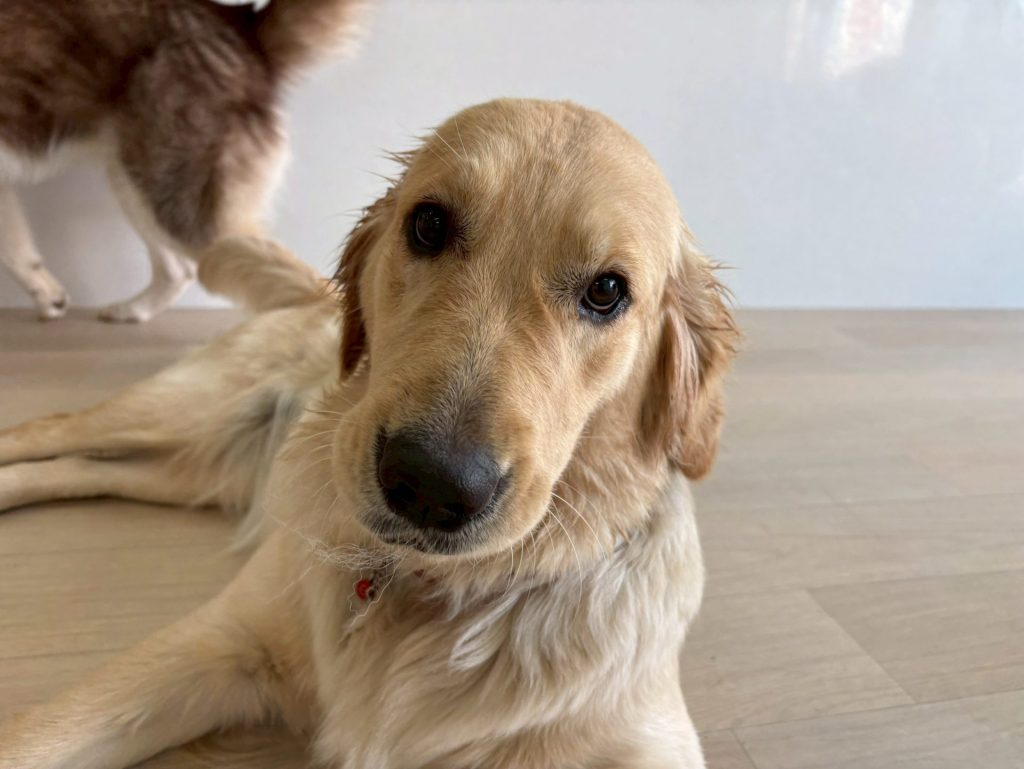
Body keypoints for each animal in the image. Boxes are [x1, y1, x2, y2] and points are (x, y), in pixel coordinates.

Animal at [0, 0, 364, 322]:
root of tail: (240, 25)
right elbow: (16, 252)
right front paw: (48, 297)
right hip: (137, 180)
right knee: (181, 270)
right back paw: (133, 311)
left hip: (169, 197)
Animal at [0, 99, 739, 769]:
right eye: (430, 223)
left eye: (607, 291)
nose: (430, 485)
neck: (426, 590)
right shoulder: (216, 643)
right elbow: (36, 739)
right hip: (180, 409)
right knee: (50, 429)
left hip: (190, 471)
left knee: (85, 467)